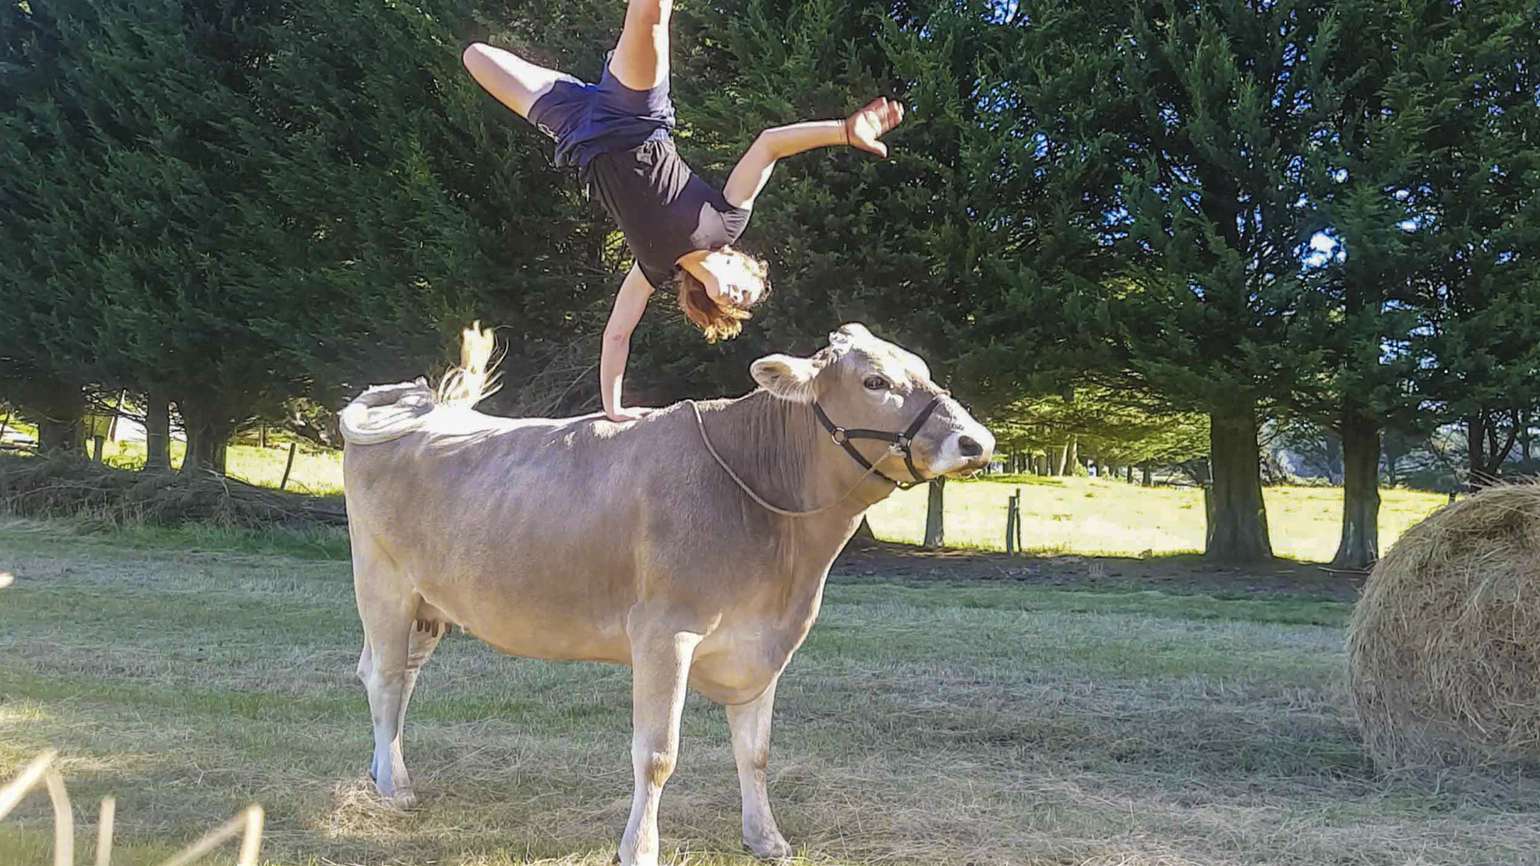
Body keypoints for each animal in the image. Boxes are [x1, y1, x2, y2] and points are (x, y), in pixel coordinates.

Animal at [338, 322, 995, 866]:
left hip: (430, 603)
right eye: (875, 381)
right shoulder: (664, 631)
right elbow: (657, 754)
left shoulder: (762, 642)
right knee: (385, 676)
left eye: (922, 369)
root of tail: (426, 407)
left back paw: (381, 769)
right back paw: (395, 788)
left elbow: (755, 751)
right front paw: (640, 849)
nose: (978, 442)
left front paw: (766, 838)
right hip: (383, 584)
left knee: (397, 677)